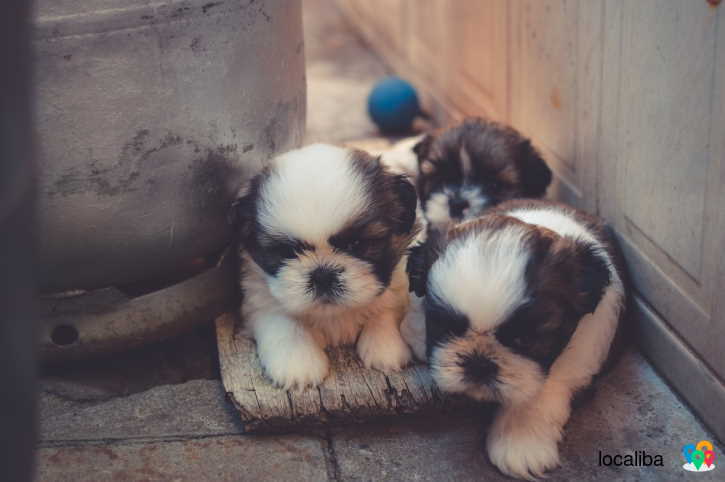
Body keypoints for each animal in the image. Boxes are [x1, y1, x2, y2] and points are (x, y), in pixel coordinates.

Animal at [408, 199, 628, 478]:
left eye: (524, 340)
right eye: (445, 328)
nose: (479, 363)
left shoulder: (581, 351)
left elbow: (540, 391)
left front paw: (521, 440)